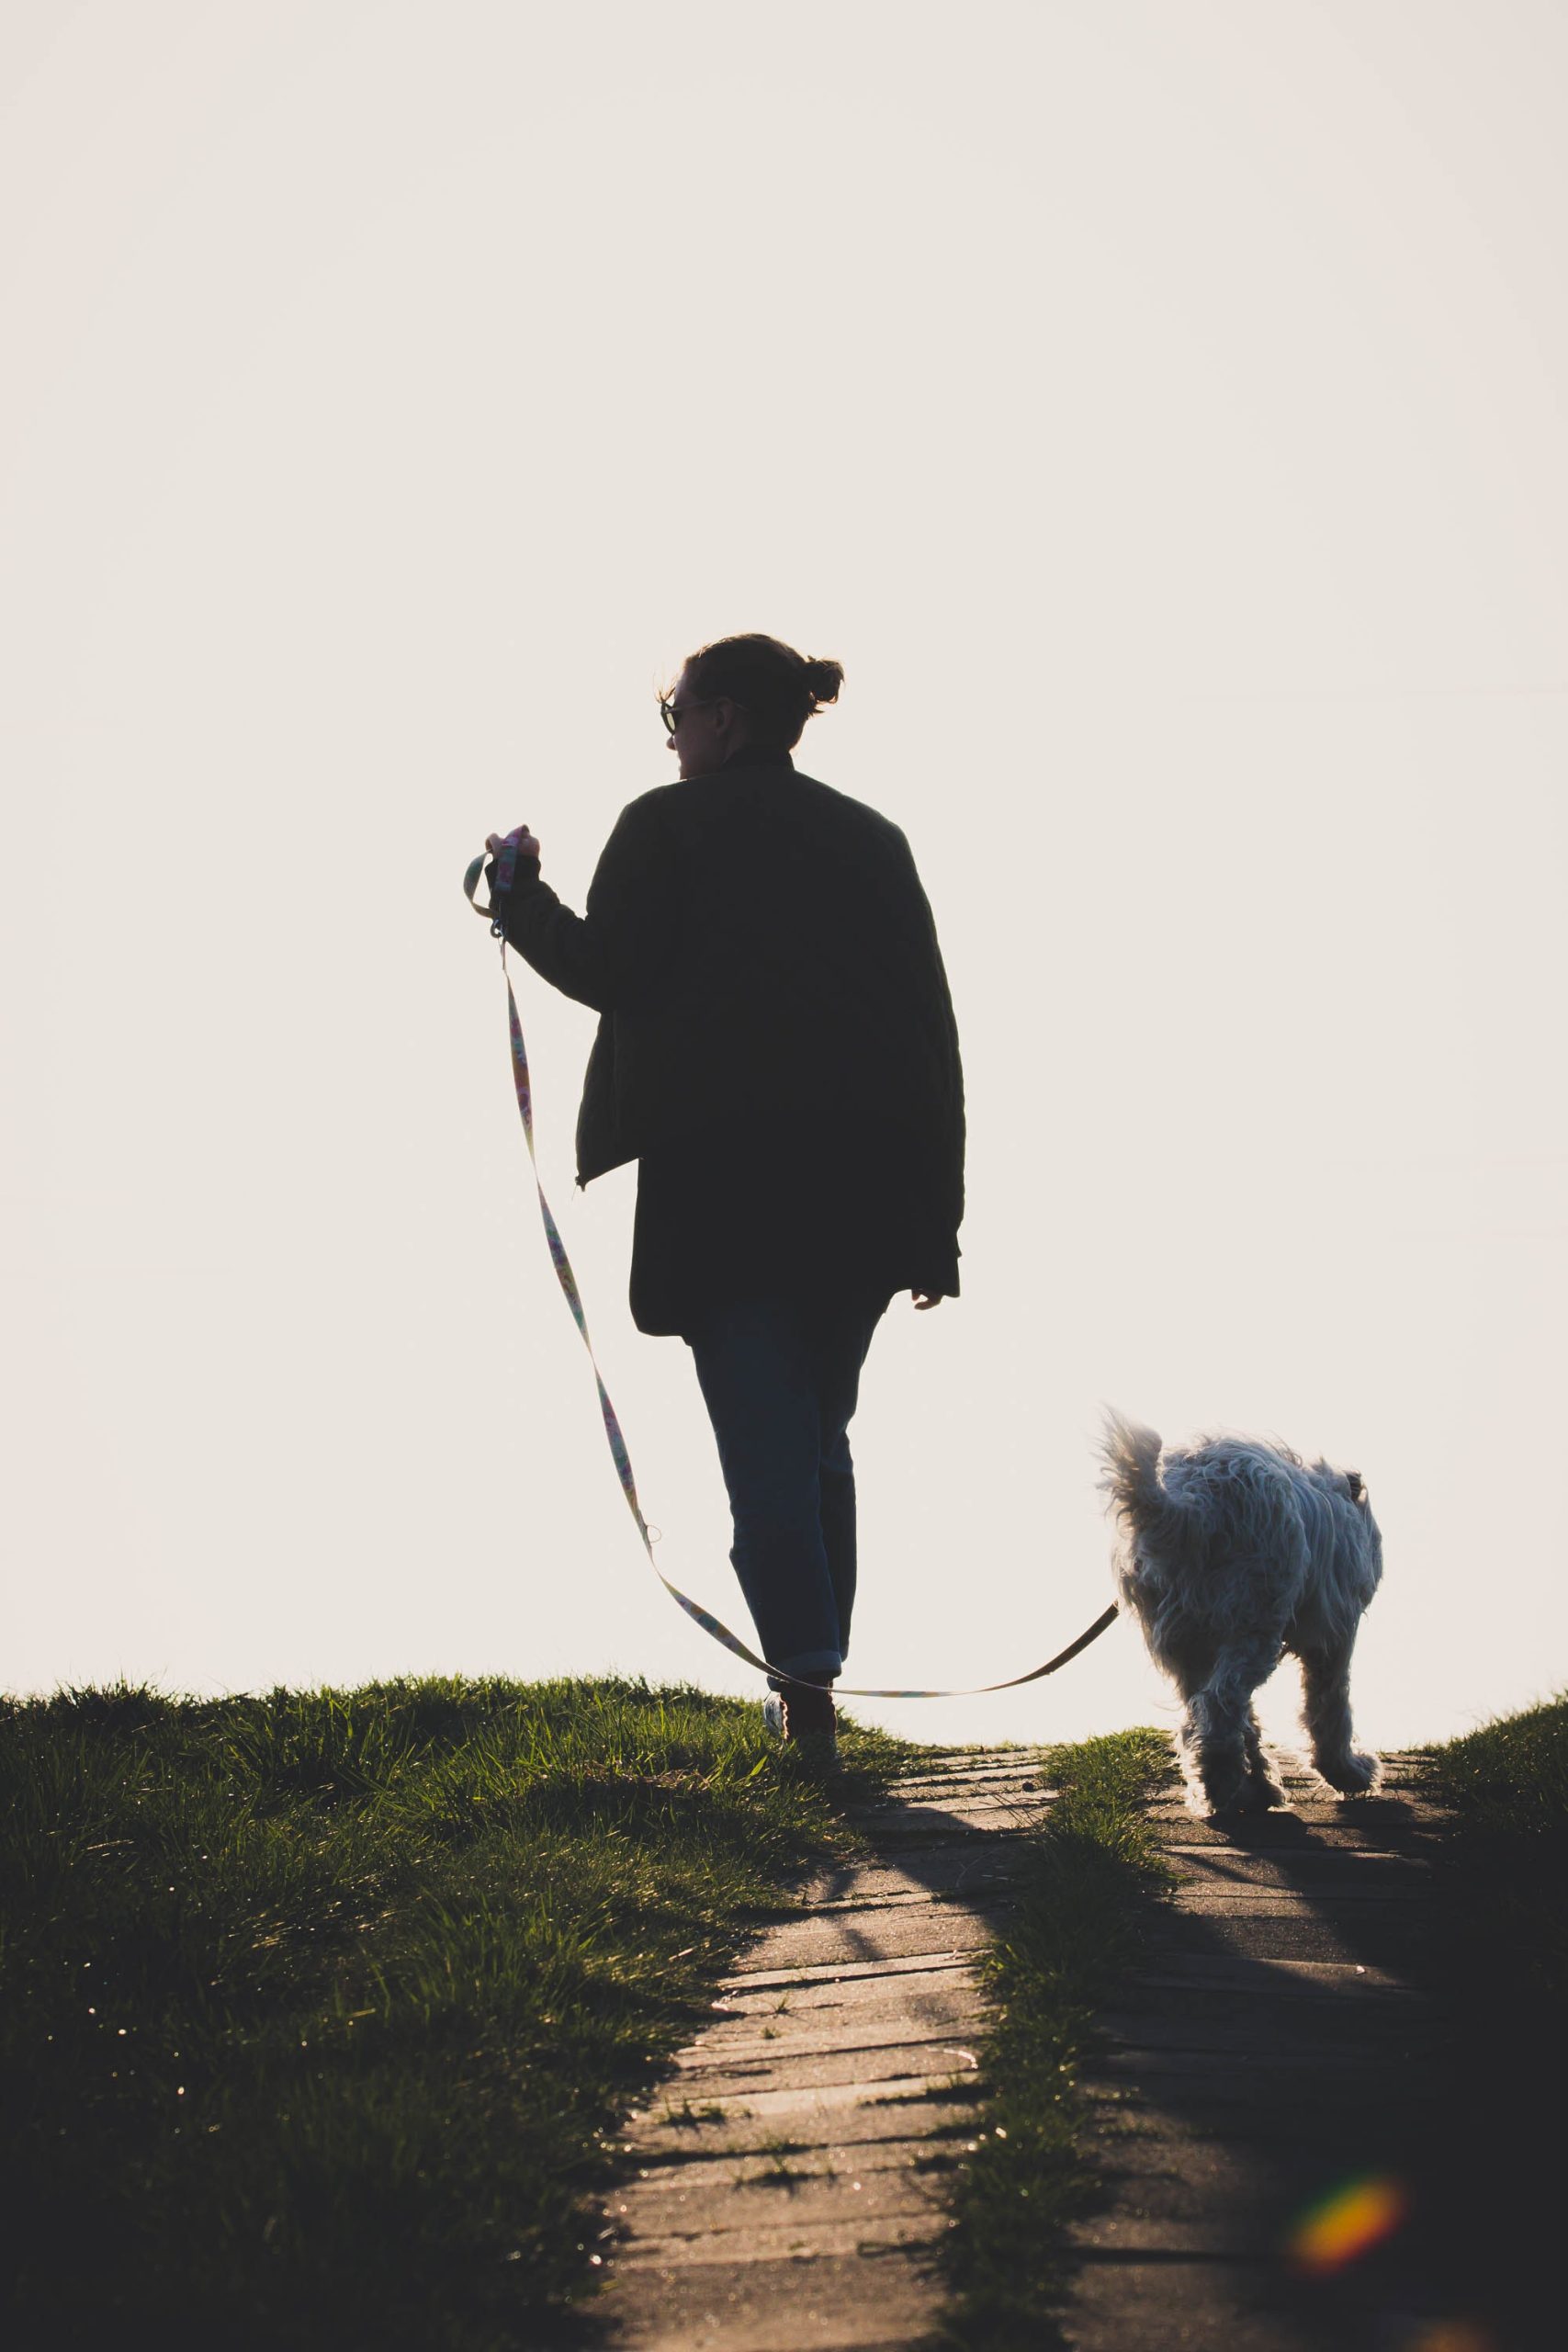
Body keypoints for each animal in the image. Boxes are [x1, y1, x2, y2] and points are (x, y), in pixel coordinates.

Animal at [1104, 1411, 1382, 1815]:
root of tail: (1189, 1506)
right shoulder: (1335, 1636)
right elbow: (1329, 1708)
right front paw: (1349, 1773)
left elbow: (1252, 1722)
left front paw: (1262, 1782)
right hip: (1254, 1623)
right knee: (1220, 1706)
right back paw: (1223, 1786)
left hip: (1186, 1642)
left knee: (1206, 1713)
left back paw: (1247, 1788)